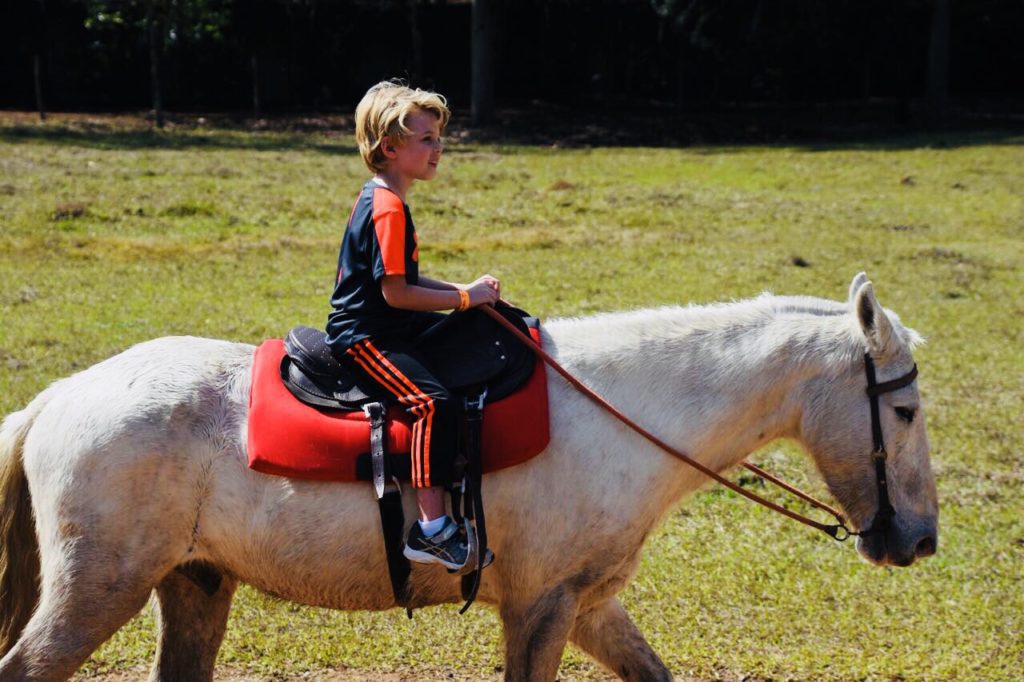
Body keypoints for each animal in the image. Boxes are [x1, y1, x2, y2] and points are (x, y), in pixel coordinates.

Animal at [0, 274, 937, 675]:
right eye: (904, 410)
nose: (922, 540)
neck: (620, 413)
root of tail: (53, 401)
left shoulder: (589, 606)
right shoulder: (542, 606)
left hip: (193, 583)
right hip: (99, 590)